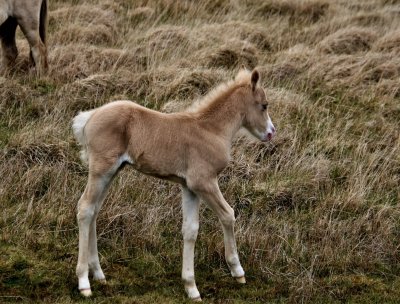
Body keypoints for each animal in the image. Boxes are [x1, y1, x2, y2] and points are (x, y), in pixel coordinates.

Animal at [72, 68, 276, 300]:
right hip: (101, 170)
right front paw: (237, 271)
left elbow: (190, 230)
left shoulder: (189, 187)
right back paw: (84, 282)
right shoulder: (204, 182)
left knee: (94, 210)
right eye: (264, 105)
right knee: (85, 208)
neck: (211, 130)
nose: (271, 133)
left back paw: (98, 274)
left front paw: (191, 287)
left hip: (112, 171)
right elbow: (228, 215)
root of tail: (89, 117)